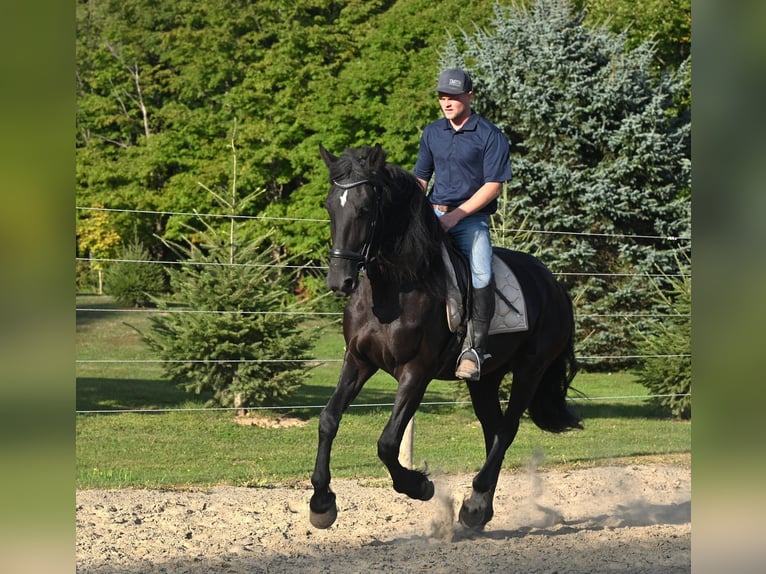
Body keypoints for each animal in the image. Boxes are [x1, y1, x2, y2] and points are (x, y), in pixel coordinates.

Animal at [309, 143, 582, 530]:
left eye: (364, 208)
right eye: (330, 205)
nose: (339, 281)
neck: (395, 288)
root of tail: (553, 284)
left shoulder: (416, 372)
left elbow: (388, 443)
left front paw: (419, 486)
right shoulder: (358, 360)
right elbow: (328, 419)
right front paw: (321, 503)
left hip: (531, 369)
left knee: (507, 429)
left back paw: (475, 501)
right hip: (486, 379)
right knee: (492, 428)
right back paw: (479, 509)